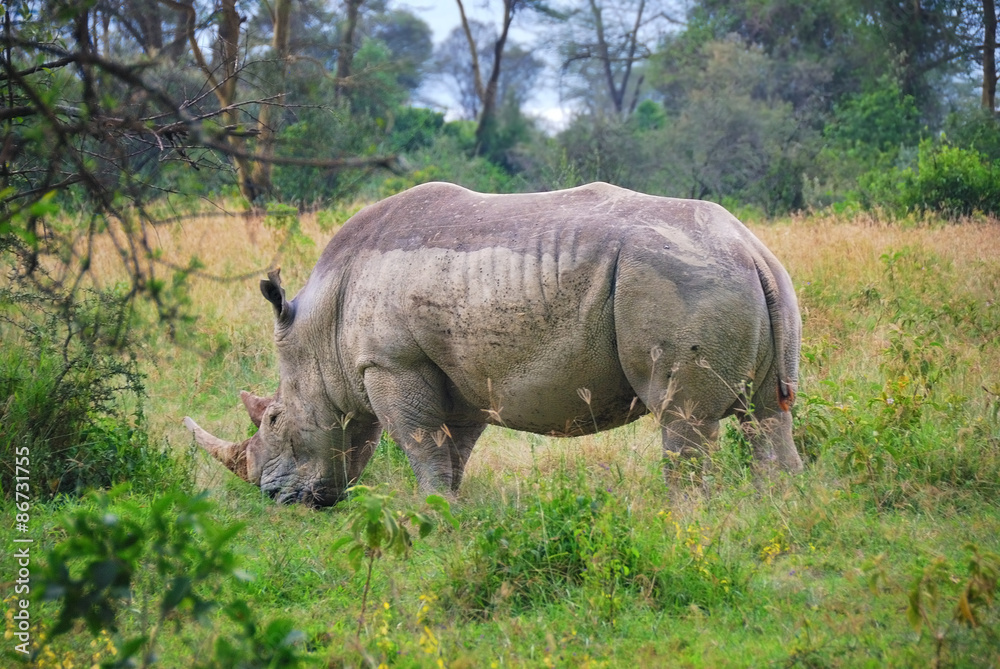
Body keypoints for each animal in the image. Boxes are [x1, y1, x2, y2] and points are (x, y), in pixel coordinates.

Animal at [185, 182, 803, 507]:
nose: (272, 497)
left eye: (274, 420)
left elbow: (418, 441)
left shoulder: (391, 363)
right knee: (768, 415)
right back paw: (777, 510)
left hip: (682, 279)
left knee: (683, 419)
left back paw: (682, 520)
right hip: (754, 281)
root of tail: (751, 249)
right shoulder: (459, 374)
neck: (321, 331)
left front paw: (428, 515)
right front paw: (451, 512)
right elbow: (450, 446)